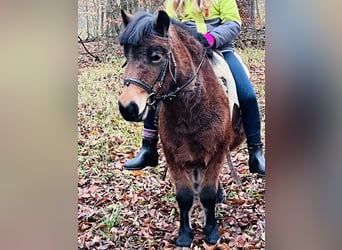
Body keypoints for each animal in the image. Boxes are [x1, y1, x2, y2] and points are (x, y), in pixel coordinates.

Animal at [118, 10, 246, 248]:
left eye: (156, 56)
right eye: (127, 56)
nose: (127, 107)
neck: (192, 108)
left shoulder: (216, 152)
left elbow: (207, 194)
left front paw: (211, 231)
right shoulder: (173, 156)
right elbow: (185, 197)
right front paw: (185, 234)